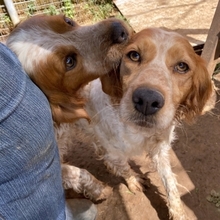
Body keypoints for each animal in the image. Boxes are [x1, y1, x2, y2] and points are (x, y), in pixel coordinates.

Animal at [56, 28, 213, 219]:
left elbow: (170, 184)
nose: (147, 100)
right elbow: (122, 166)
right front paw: (132, 180)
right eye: (134, 55)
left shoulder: (159, 148)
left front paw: (178, 213)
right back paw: (97, 189)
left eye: (182, 66)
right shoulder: (114, 151)